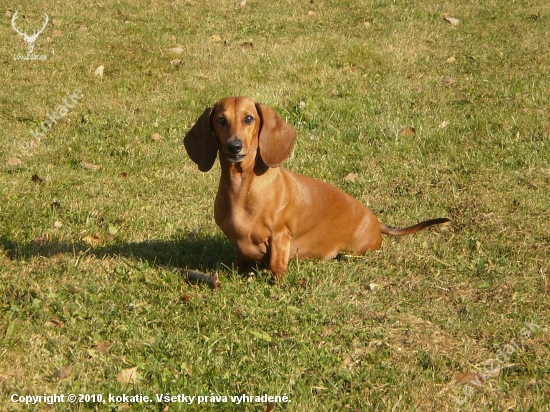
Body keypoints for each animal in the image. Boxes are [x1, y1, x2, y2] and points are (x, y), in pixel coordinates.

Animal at [183, 96, 450, 280]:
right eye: (221, 120)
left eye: (249, 118)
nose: (234, 146)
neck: (242, 187)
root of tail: (377, 223)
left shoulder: (280, 235)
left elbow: (276, 266)